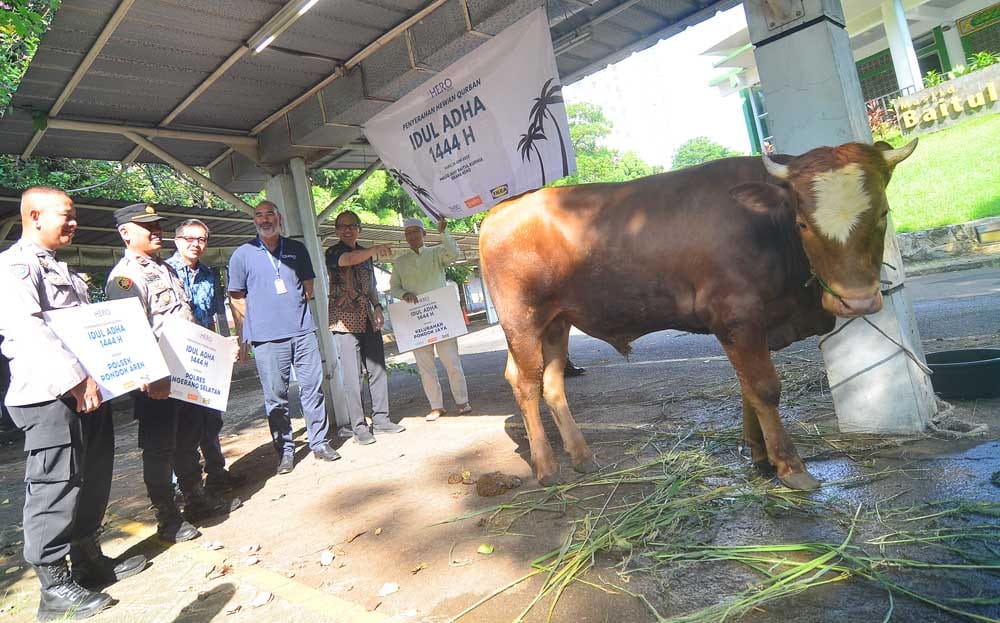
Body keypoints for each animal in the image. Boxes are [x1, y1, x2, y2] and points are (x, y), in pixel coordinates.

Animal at [480, 139, 916, 490]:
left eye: (883, 213)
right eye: (803, 223)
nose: (857, 302)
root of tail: (502, 211)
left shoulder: (750, 325)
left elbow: (747, 388)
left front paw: (759, 455)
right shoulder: (737, 316)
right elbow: (764, 388)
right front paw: (790, 466)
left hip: (557, 321)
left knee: (551, 381)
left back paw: (582, 456)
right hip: (522, 321)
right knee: (525, 382)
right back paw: (546, 466)